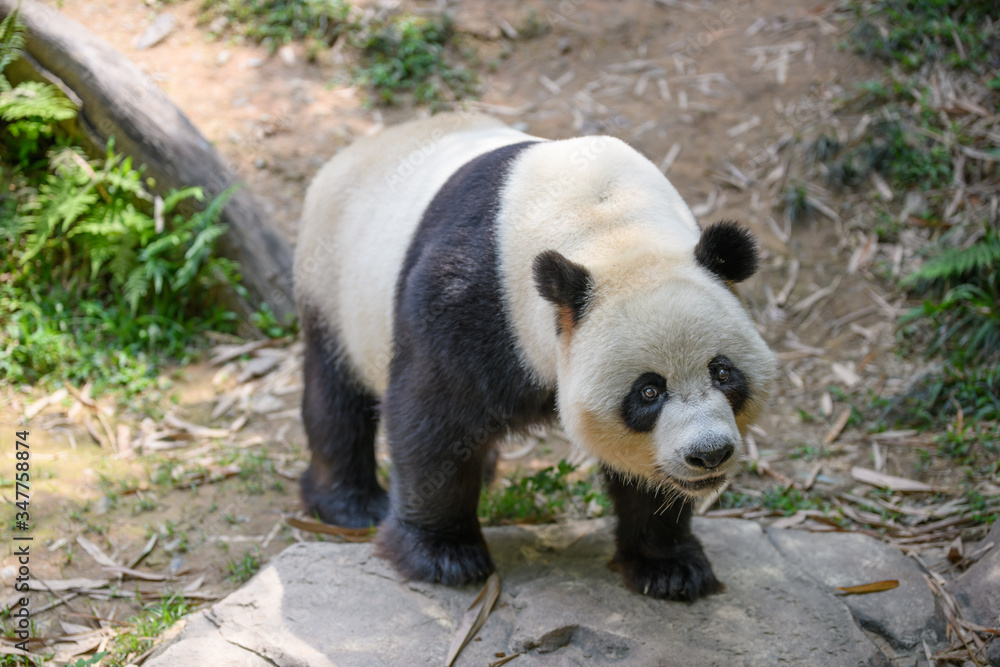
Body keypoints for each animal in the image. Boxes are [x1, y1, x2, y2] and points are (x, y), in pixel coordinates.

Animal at [294, 113, 776, 601]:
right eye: (648, 392)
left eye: (722, 372)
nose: (709, 454)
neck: (610, 224)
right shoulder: (471, 302)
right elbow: (432, 418)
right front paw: (442, 555)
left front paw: (670, 566)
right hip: (336, 286)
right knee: (336, 400)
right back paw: (351, 505)